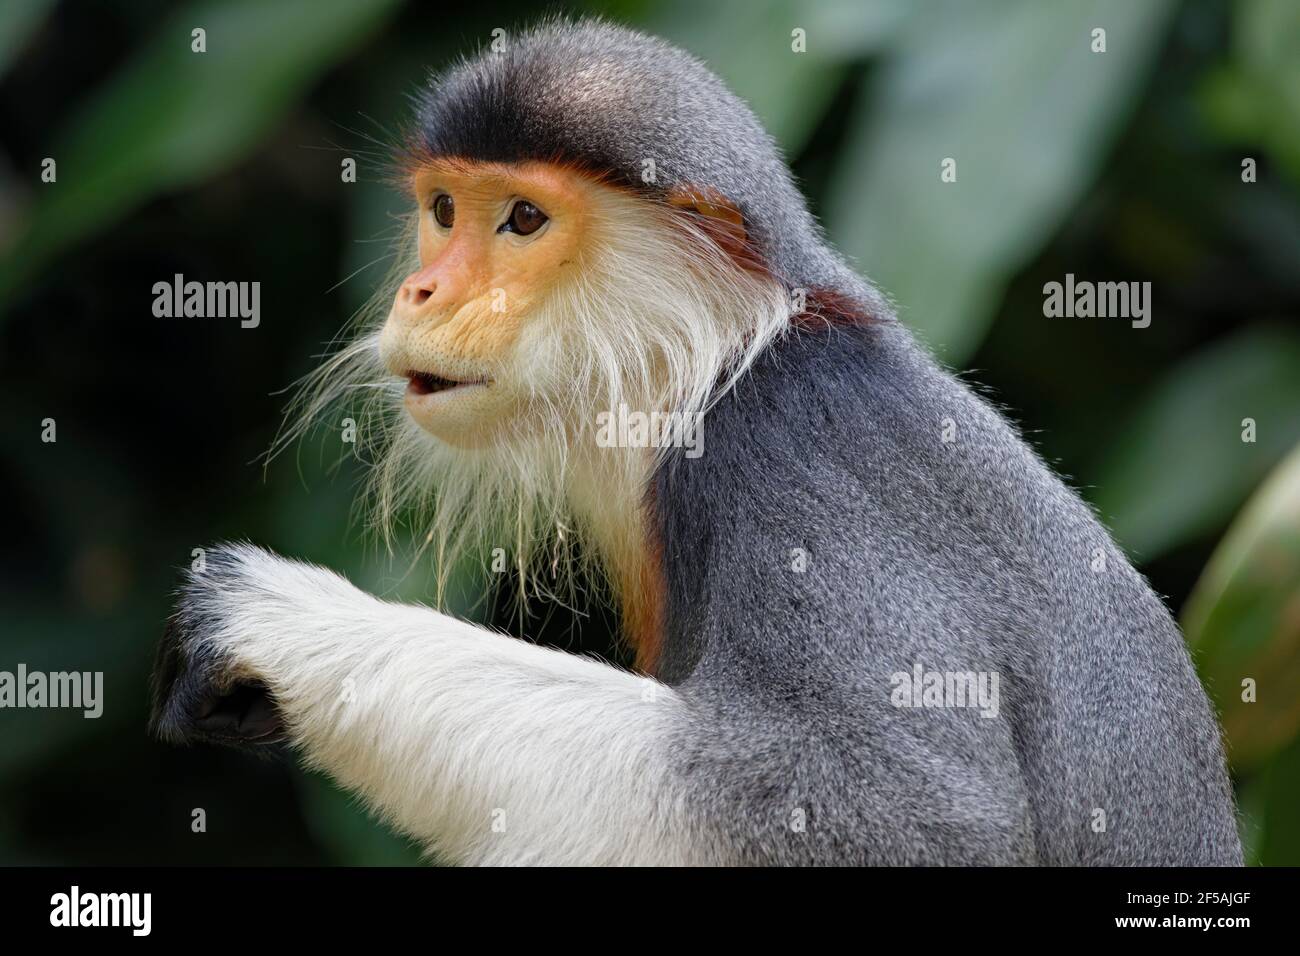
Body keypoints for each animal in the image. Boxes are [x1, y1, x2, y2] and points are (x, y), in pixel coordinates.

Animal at [149, 16, 1237, 868]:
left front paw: (274, 618)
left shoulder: (792, 452)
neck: (707, 371)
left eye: (524, 218)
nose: (423, 290)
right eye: (445, 210)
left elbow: (909, 817)